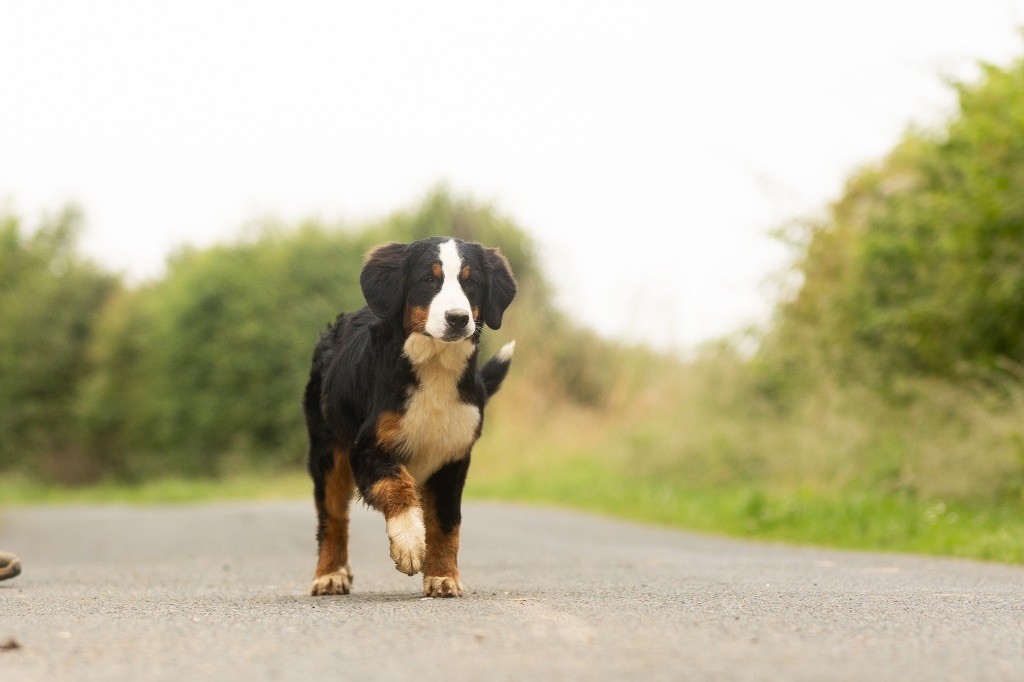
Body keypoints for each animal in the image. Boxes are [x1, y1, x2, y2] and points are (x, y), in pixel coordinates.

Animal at [301, 236, 512, 598]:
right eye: (429, 280)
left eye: (471, 282)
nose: (458, 318)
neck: (436, 367)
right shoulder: (367, 448)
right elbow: (397, 486)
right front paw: (410, 545)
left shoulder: (452, 457)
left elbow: (445, 521)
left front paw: (442, 576)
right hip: (327, 450)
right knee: (333, 518)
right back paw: (330, 574)